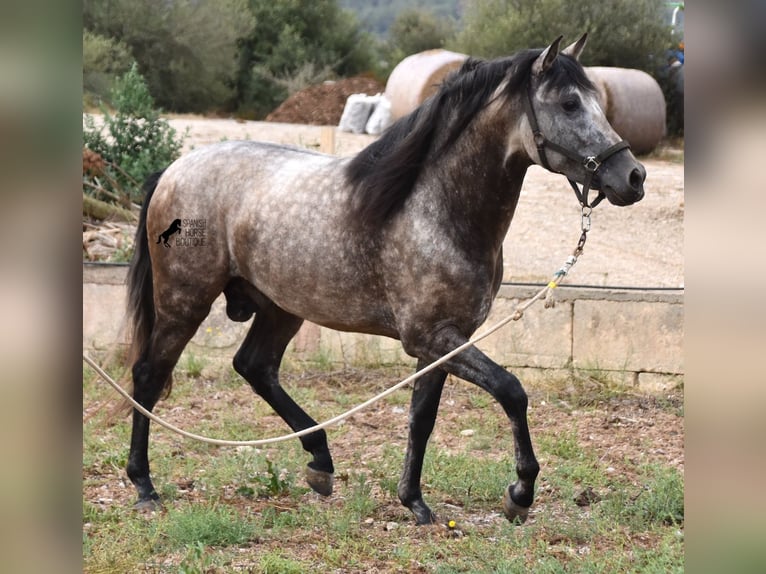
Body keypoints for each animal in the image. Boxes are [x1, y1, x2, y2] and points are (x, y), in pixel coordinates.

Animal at [127, 37, 648, 528]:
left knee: (255, 367)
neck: (435, 208)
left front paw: (414, 501)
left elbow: (422, 419)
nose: (633, 176)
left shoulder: (442, 342)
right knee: (149, 375)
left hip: (281, 308)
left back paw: (320, 463)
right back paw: (145, 486)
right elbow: (512, 391)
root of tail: (173, 171)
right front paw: (519, 494)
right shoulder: (432, 337)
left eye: (597, 100)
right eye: (569, 103)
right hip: (184, 301)